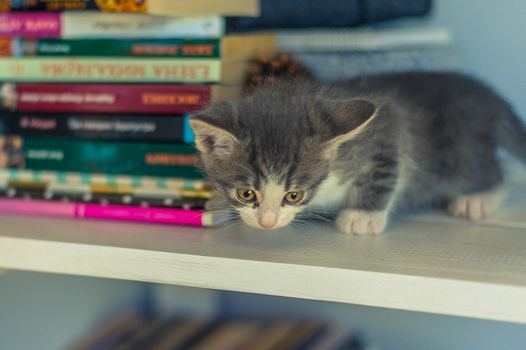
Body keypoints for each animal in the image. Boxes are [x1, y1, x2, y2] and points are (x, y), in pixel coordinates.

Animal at [190, 72, 526, 234]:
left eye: (294, 195)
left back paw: (478, 199)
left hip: (460, 156)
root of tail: (485, 94)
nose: (267, 222)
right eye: (246, 194)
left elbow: (385, 173)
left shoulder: (387, 131)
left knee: (496, 173)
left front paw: (362, 217)